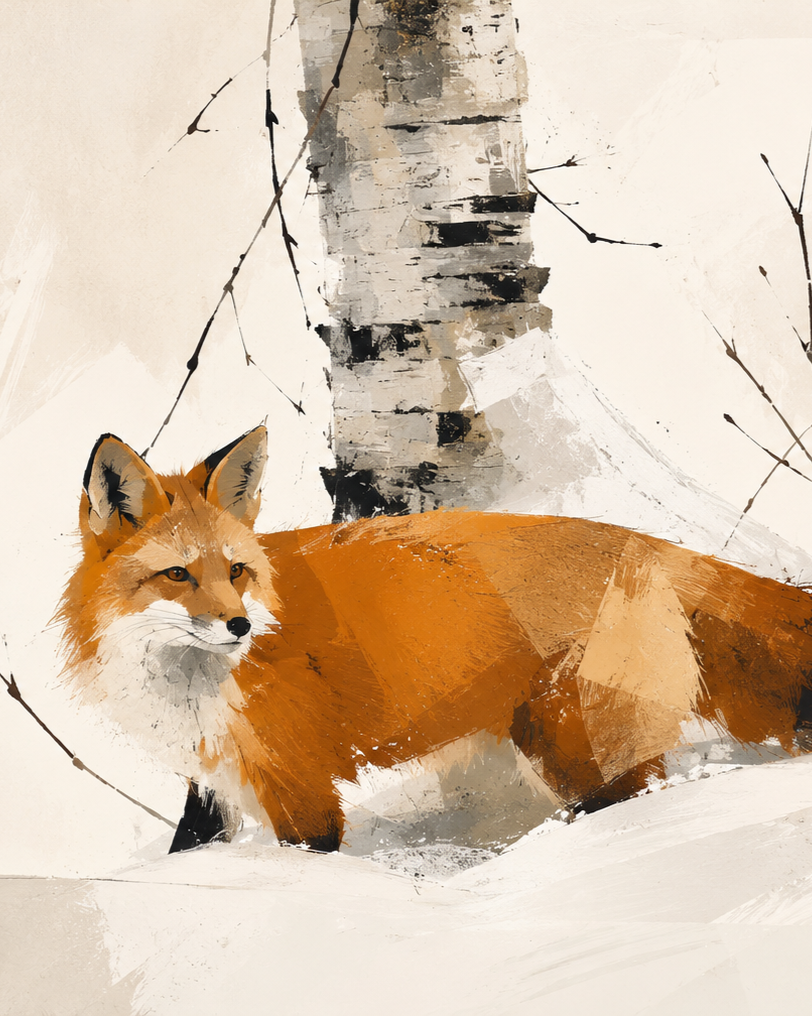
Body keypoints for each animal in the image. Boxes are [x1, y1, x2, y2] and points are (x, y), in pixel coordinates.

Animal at [58, 425, 812, 852]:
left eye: (235, 571)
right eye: (178, 574)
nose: (240, 625)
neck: (188, 684)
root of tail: (643, 542)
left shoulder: (299, 787)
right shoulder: (211, 779)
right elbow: (186, 846)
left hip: (577, 750)